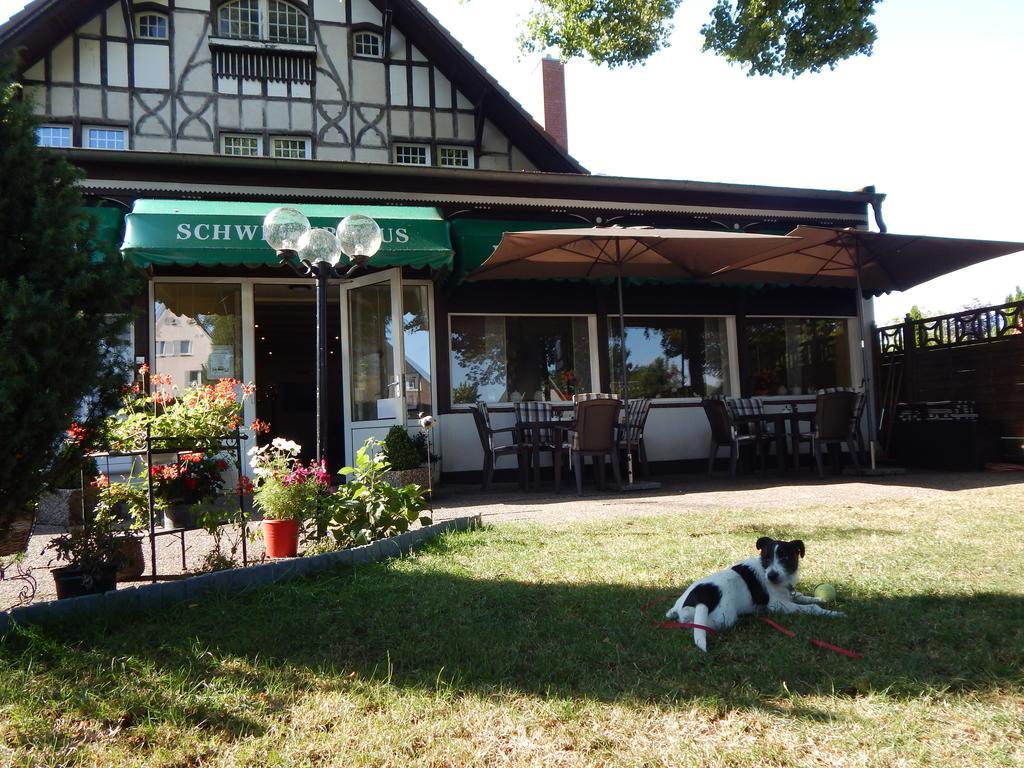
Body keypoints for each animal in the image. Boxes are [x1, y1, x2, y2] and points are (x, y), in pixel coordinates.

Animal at [667, 536, 843, 651]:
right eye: (766, 558)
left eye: (785, 557)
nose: (772, 576)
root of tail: (700, 595)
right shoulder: (778, 604)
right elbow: (811, 607)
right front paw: (832, 613)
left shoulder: (788, 594)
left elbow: (802, 596)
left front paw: (820, 598)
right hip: (724, 618)